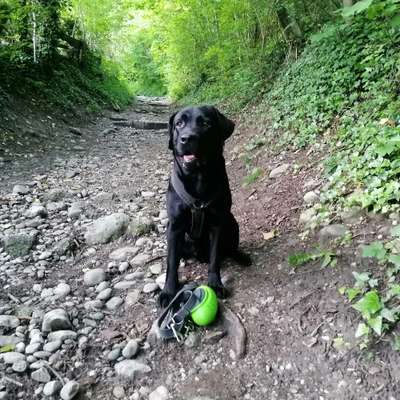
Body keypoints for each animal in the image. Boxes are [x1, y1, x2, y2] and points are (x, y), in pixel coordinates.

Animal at [159, 105, 250, 306]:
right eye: (179, 123)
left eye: (206, 123)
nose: (187, 138)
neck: (198, 177)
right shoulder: (174, 226)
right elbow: (171, 262)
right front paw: (168, 292)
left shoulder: (217, 224)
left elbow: (215, 257)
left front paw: (215, 284)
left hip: (232, 221)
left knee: (229, 248)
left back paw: (240, 256)